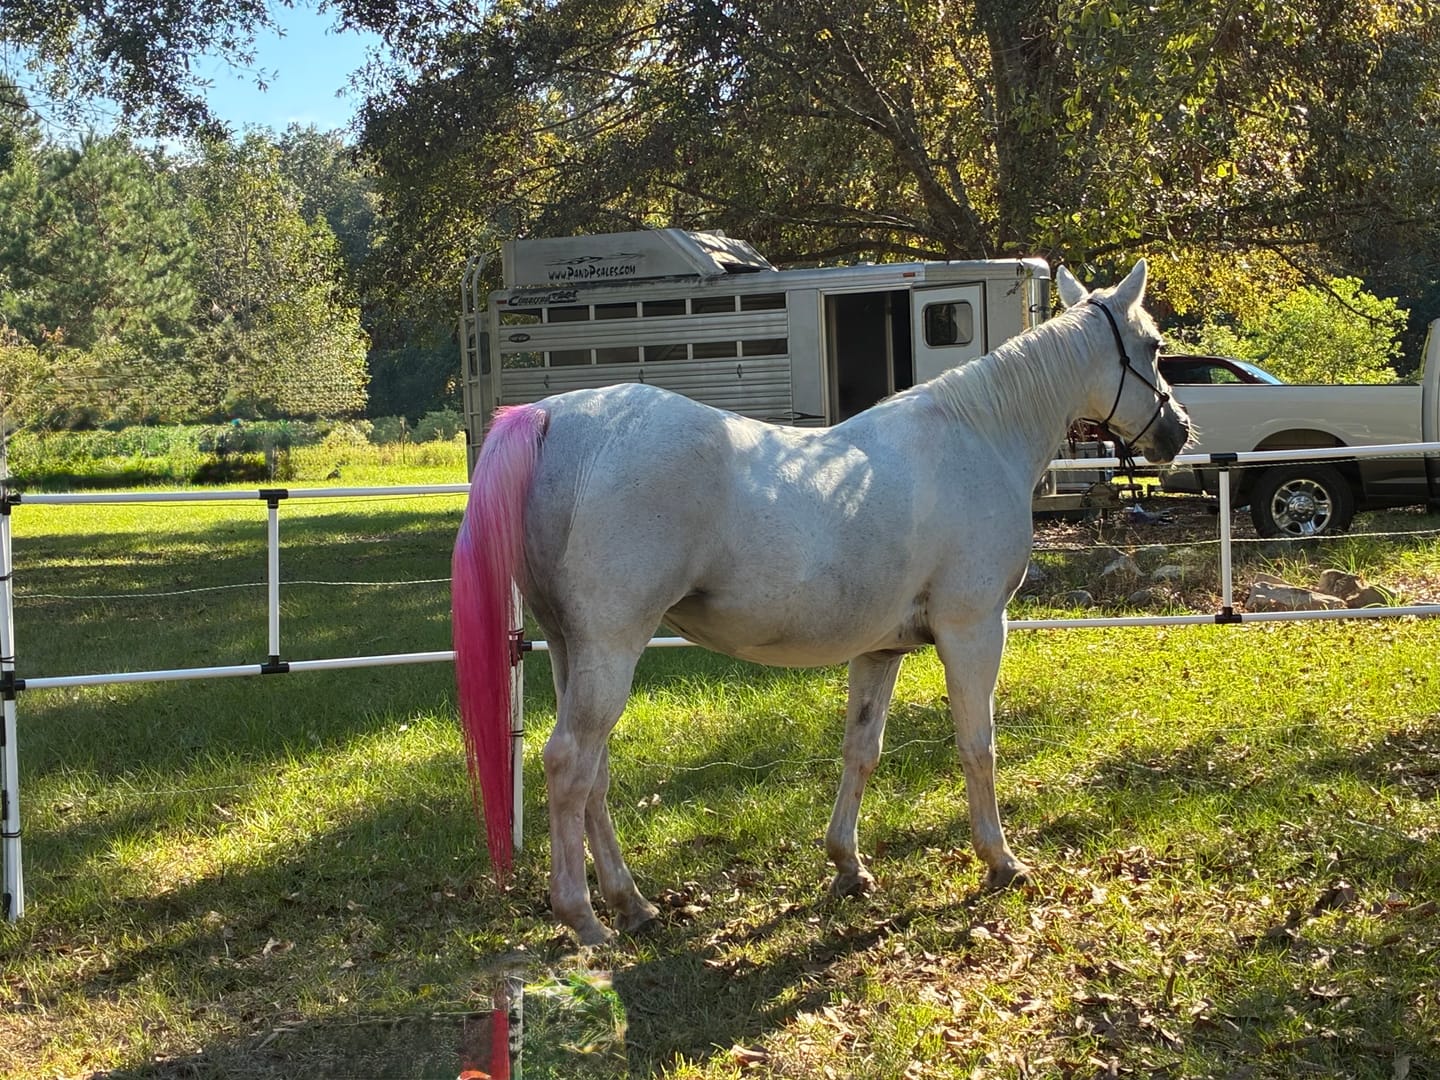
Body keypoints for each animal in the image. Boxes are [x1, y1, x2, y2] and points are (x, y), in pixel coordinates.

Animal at [452, 259, 1191, 945]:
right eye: (1153, 344)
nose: (1178, 432)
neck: (977, 436)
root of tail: (554, 416)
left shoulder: (882, 649)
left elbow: (861, 748)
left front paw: (848, 865)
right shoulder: (975, 629)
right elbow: (977, 743)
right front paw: (1000, 861)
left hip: (571, 648)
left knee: (594, 774)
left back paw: (631, 903)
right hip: (611, 647)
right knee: (568, 764)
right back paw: (583, 917)